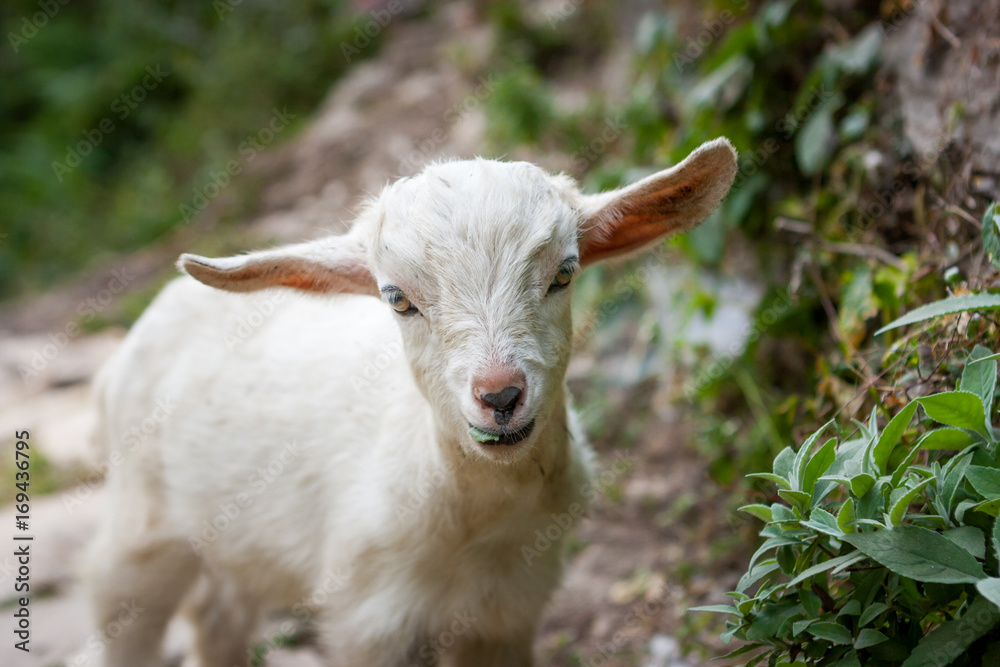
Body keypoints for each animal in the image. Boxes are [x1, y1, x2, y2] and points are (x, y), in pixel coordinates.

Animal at [84, 138, 737, 667]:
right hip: (139, 532)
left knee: (216, 616)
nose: (500, 395)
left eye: (565, 272)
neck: (474, 521)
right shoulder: (367, 618)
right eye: (397, 298)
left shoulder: (510, 612)